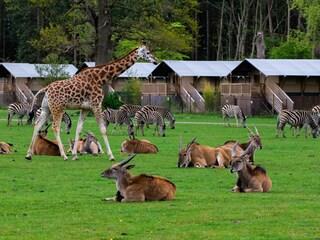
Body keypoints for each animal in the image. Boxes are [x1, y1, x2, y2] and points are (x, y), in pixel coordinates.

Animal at [25, 42, 158, 161]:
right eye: (148, 52)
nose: (156, 60)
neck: (100, 78)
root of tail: (46, 89)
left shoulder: (85, 108)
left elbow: (79, 129)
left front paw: (75, 155)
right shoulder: (96, 104)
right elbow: (103, 129)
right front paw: (111, 156)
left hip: (47, 108)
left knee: (37, 124)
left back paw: (28, 154)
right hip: (58, 108)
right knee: (55, 127)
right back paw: (64, 156)